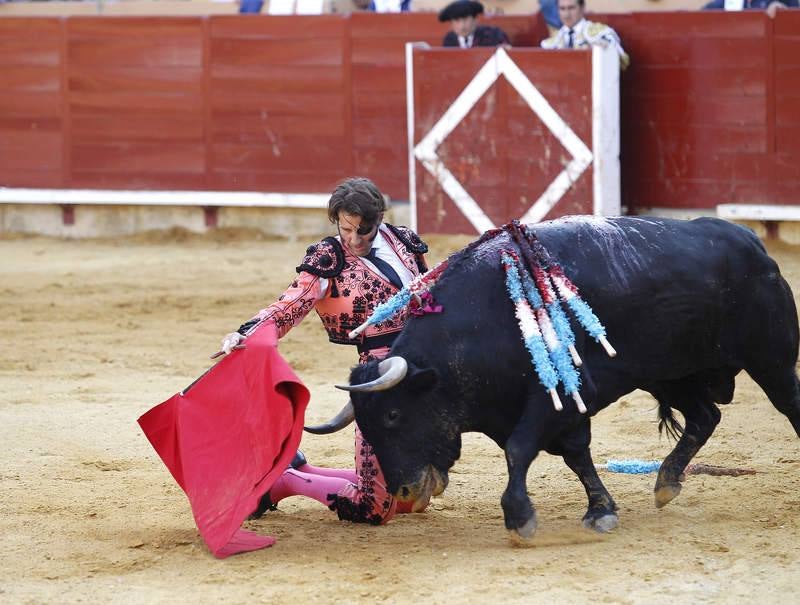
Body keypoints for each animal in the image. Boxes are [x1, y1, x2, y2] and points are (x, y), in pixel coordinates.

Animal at [344, 217, 800, 536]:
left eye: (393, 416)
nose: (403, 492)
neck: (482, 321)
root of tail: (753, 244)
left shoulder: (561, 396)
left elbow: (519, 449)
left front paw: (520, 518)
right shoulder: (556, 407)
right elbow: (576, 455)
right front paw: (601, 510)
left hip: (771, 362)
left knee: (788, 406)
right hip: (670, 375)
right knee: (705, 417)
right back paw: (666, 483)